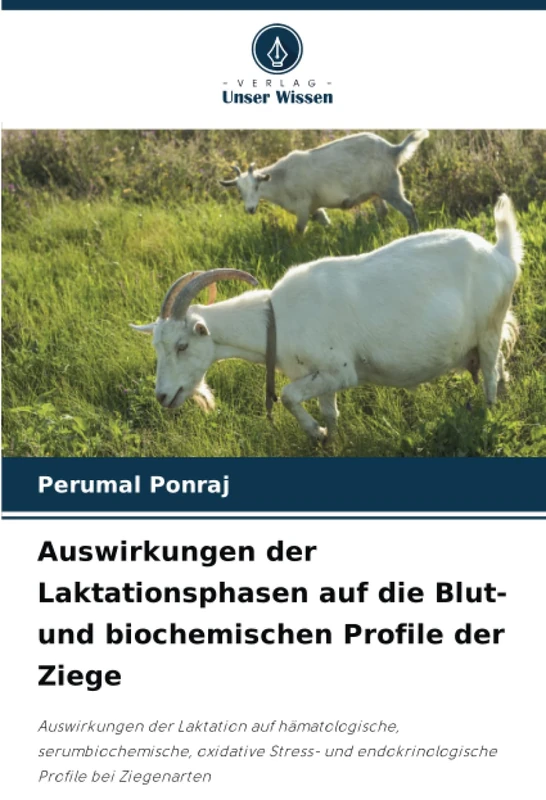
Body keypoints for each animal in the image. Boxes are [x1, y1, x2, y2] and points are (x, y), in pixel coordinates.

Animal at [131, 195, 522, 443]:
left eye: (182, 345)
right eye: (157, 348)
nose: (162, 396)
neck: (276, 319)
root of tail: (500, 254)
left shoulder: (340, 370)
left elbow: (287, 396)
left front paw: (315, 433)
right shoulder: (319, 376)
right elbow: (329, 412)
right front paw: (329, 439)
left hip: (488, 328)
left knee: (489, 374)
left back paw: (488, 412)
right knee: (500, 365)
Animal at [219, 130, 429, 233]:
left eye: (257, 186)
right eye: (239, 191)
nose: (250, 209)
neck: (281, 178)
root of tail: (393, 150)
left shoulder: (303, 206)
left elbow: (299, 230)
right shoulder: (314, 208)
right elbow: (325, 221)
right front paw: (333, 234)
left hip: (390, 187)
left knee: (408, 208)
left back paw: (414, 232)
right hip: (376, 191)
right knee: (383, 211)